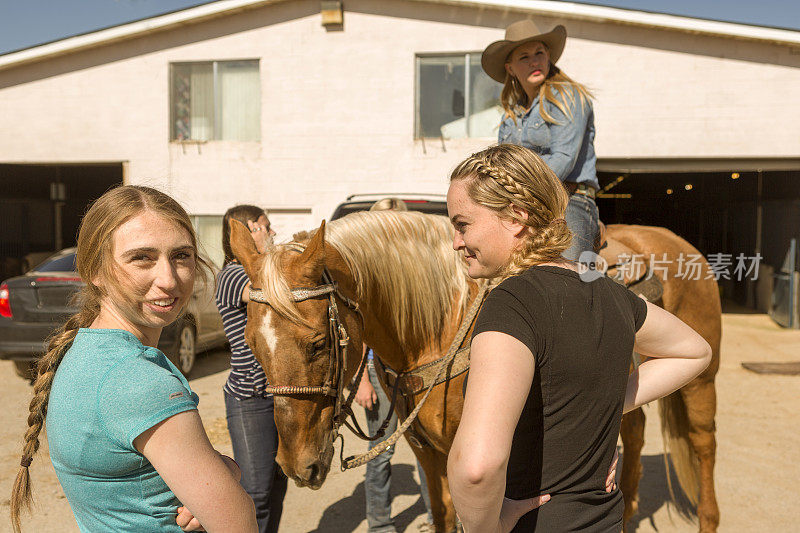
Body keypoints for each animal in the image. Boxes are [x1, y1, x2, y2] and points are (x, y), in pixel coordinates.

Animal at [228, 212, 720, 532]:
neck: (442, 326)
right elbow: (444, 514)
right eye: (250, 345)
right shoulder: (429, 452)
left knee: (702, 445)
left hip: (701, 382)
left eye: (317, 342)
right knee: (634, 433)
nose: (297, 465)